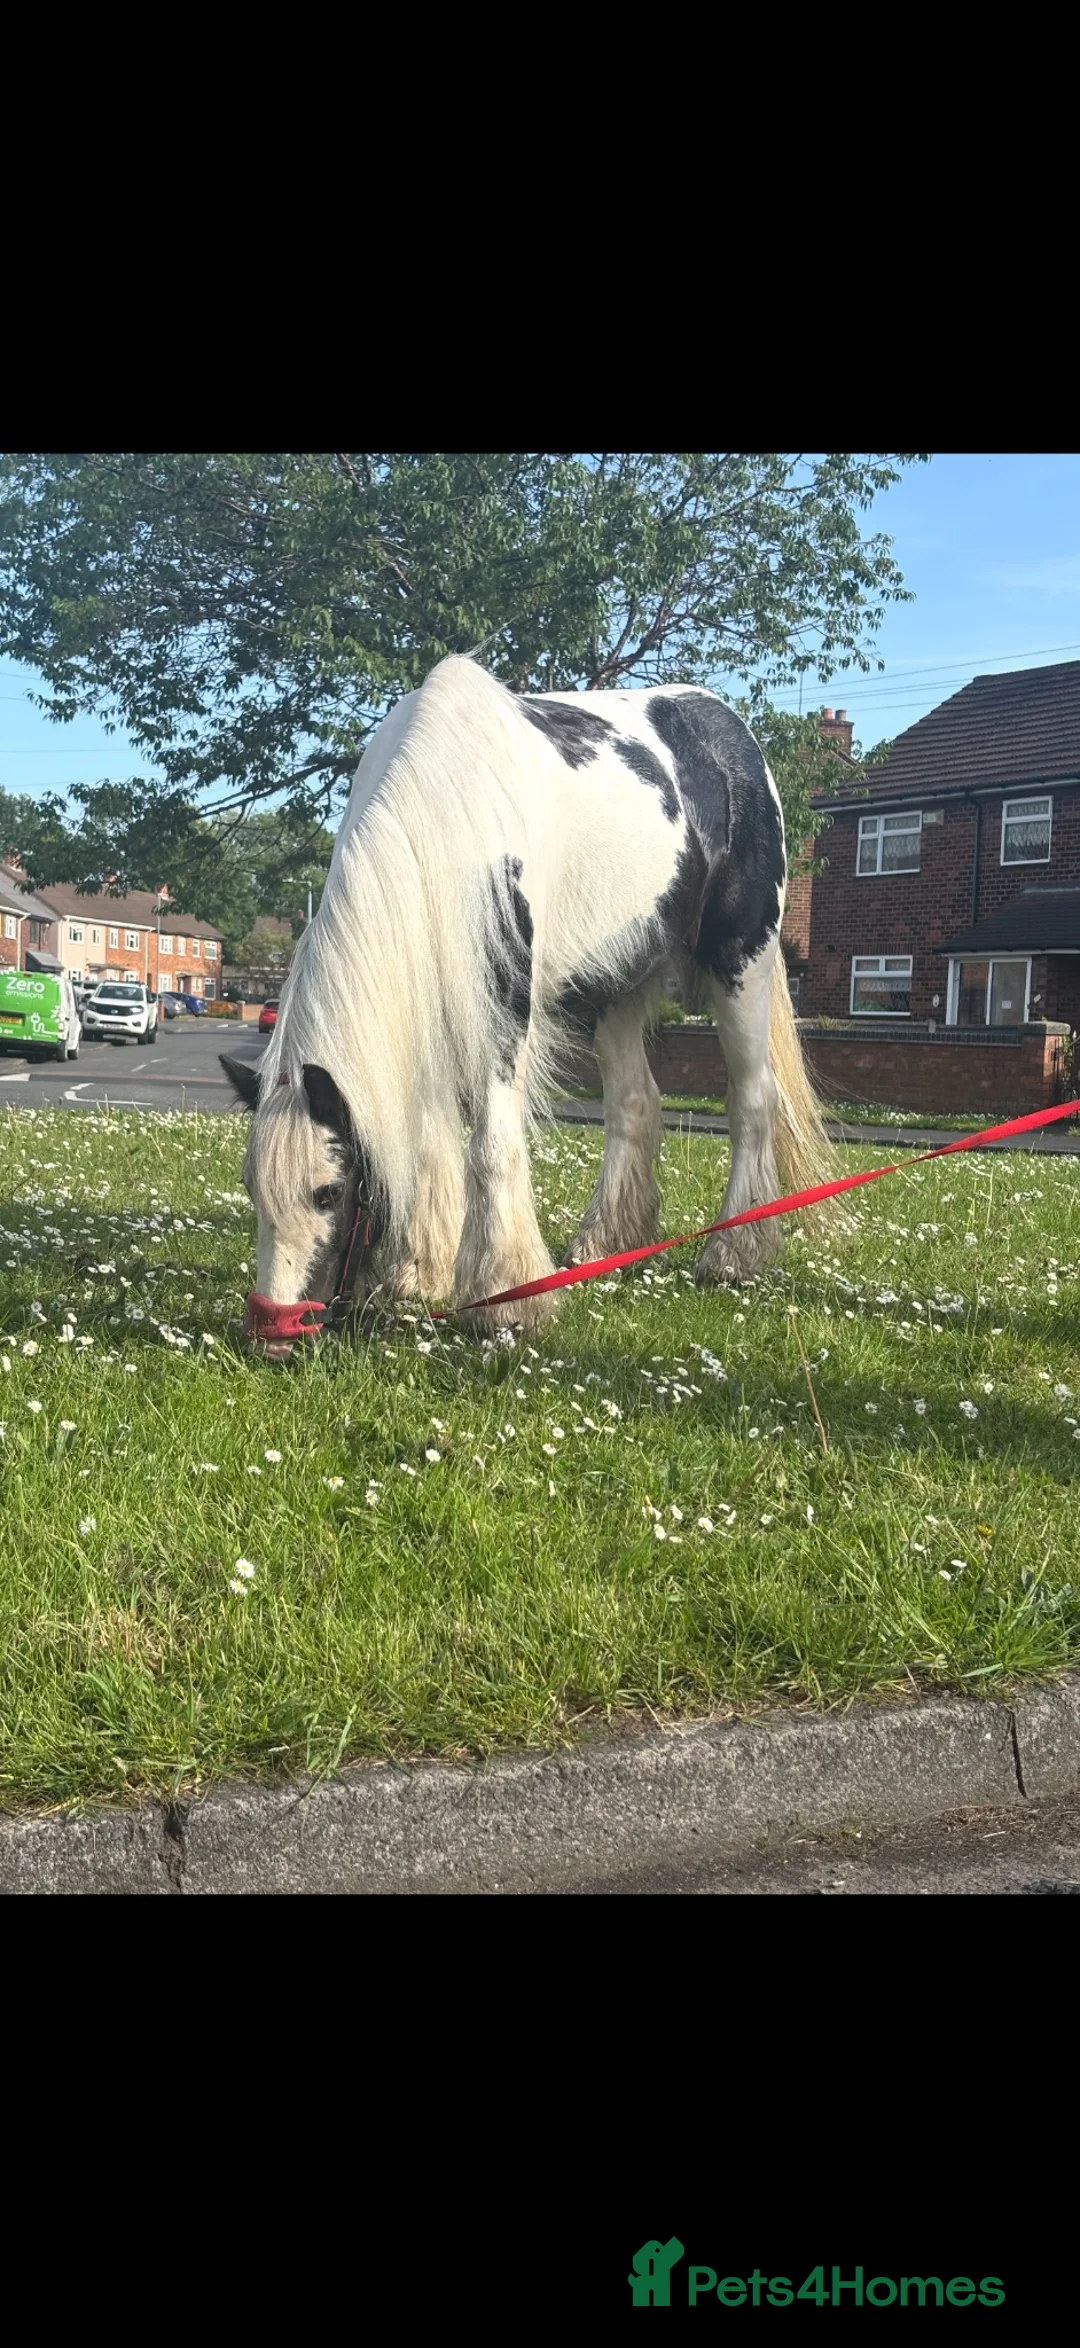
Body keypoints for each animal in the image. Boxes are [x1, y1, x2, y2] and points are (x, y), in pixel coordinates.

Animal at [221, 653, 829, 1359]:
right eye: (250, 1186)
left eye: (328, 1191)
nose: (273, 1334)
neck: (446, 813)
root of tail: (731, 734)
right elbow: (430, 1138)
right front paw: (418, 1273)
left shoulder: (502, 1001)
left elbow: (491, 1146)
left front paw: (507, 1300)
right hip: (615, 985)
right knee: (634, 1104)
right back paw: (606, 1242)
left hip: (741, 964)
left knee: (753, 1099)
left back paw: (736, 1253)